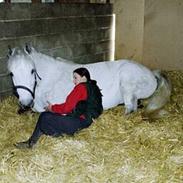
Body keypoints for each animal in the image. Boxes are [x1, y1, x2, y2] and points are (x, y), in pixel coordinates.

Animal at [6, 45, 170, 118]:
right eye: (11, 73)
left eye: (32, 71)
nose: (26, 101)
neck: (48, 78)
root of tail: (151, 73)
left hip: (127, 84)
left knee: (131, 108)